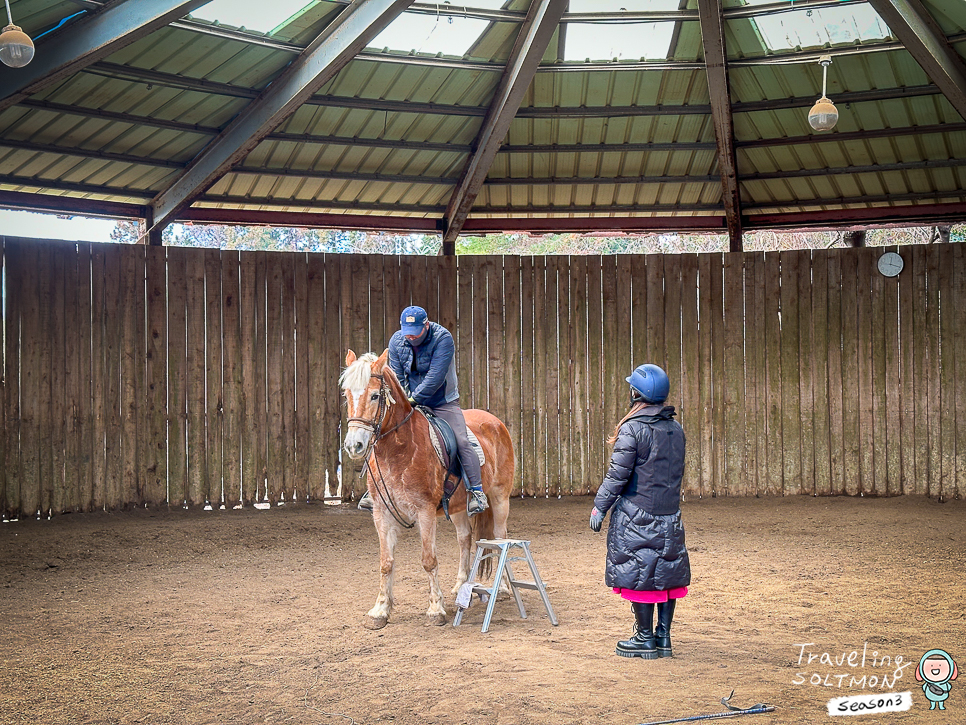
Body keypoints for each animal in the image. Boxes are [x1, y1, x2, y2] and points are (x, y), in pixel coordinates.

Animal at [344, 346, 520, 628]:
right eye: (347, 394)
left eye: (374, 395)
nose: (354, 445)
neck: (399, 450)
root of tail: (494, 421)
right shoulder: (381, 514)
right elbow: (386, 562)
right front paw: (380, 610)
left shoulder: (424, 511)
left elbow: (428, 560)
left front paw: (436, 609)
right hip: (459, 507)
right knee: (464, 539)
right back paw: (460, 585)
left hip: (500, 497)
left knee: (500, 537)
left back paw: (502, 588)